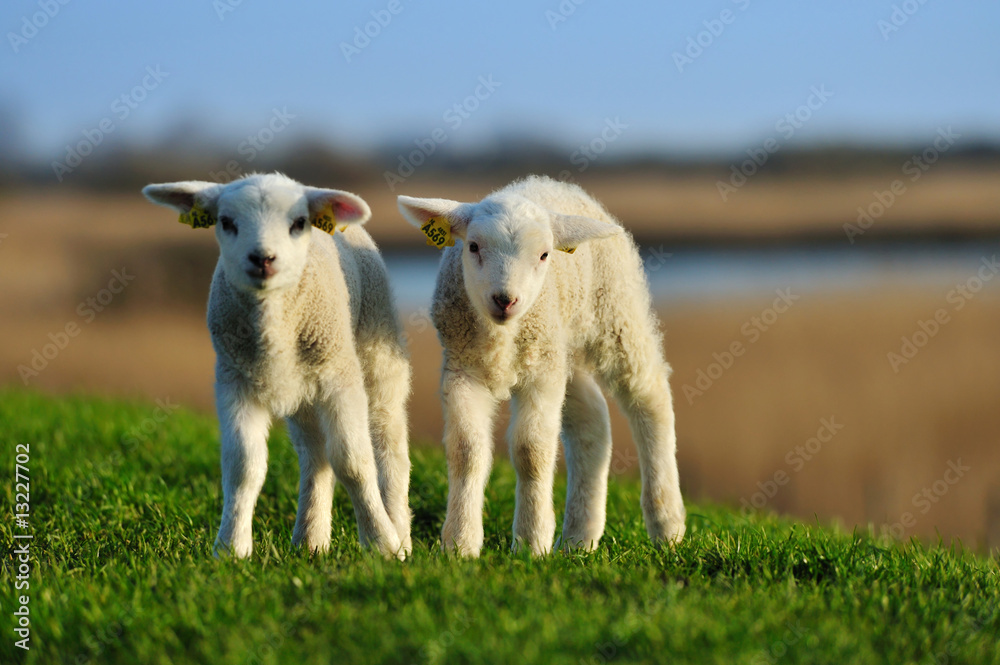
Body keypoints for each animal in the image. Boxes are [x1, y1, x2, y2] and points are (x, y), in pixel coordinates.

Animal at [142, 172, 411, 560]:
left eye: (298, 223)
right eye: (226, 222)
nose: (262, 258)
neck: (273, 324)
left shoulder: (340, 376)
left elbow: (353, 463)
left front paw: (381, 544)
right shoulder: (234, 380)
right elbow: (243, 468)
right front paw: (231, 548)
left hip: (377, 351)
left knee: (389, 440)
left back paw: (399, 532)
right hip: (301, 393)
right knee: (315, 455)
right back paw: (311, 541)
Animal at [397, 175, 685, 556]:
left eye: (544, 255)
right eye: (472, 246)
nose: (505, 299)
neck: (502, 337)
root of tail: (559, 184)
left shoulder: (539, 376)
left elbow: (530, 450)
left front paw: (531, 544)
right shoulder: (463, 369)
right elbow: (466, 449)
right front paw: (460, 543)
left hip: (614, 314)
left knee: (650, 399)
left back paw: (667, 524)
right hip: (561, 347)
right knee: (593, 418)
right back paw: (580, 538)